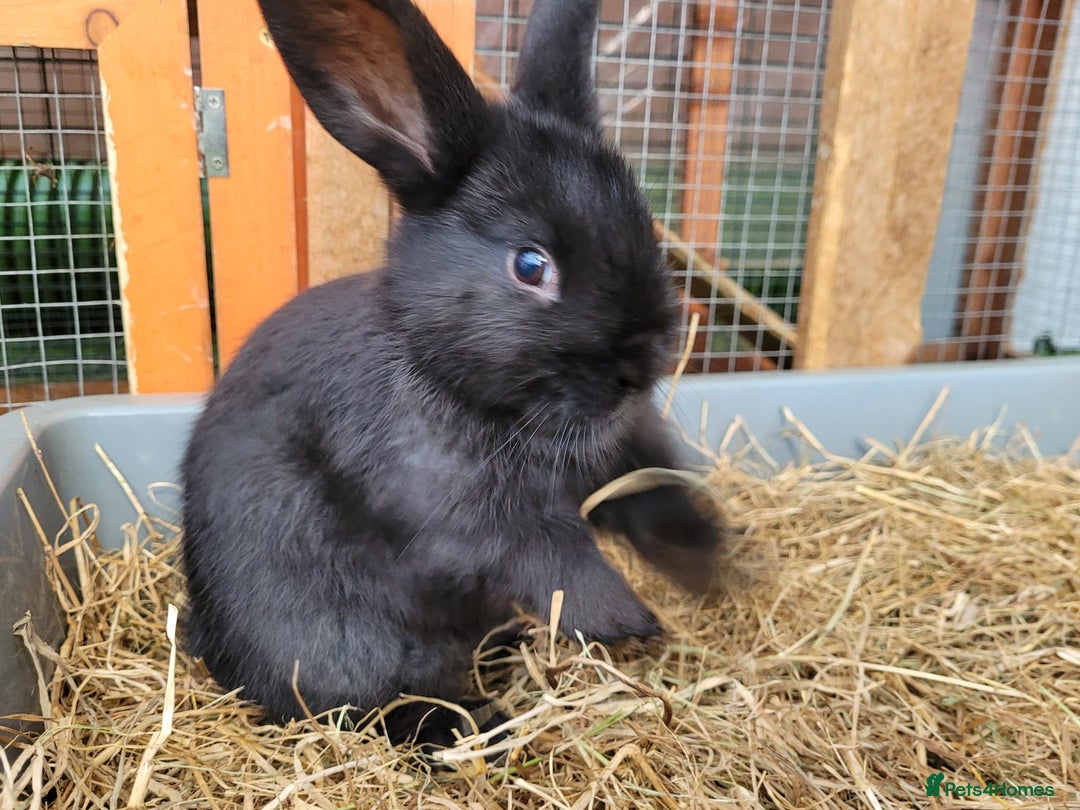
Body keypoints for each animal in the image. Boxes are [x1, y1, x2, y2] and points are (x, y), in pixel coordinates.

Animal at [180, 0, 725, 750]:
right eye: (531, 266)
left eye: (644, 226)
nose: (642, 364)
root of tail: (222, 660)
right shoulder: (460, 514)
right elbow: (552, 557)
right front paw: (629, 620)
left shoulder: (618, 460)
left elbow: (653, 497)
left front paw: (713, 561)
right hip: (352, 650)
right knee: (375, 712)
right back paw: (481, 726)